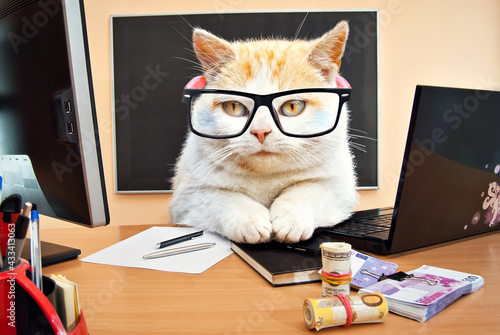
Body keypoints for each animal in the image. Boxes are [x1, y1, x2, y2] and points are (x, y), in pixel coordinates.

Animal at [170, 22, 358, 245]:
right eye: (234, 107)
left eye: (293, 106)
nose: (260, 131)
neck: (265, 179)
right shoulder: (187, 198)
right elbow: (221, 198)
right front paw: (249, 220)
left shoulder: (340, 188)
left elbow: (309, 191)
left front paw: (291, 219)